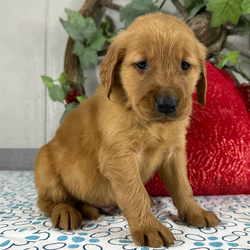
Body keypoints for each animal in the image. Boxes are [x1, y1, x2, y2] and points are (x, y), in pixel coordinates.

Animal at [34, 12, 219, 247]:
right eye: (141, 64)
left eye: (185, 65)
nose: (167, 104)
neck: (152, 124)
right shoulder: (119, 157)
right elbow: (135, 193)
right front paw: (148, 227)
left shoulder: (174, 153)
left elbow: (183, 186)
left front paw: (195, 212)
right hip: (45, 165)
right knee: (50, 201)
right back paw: (65, 211)